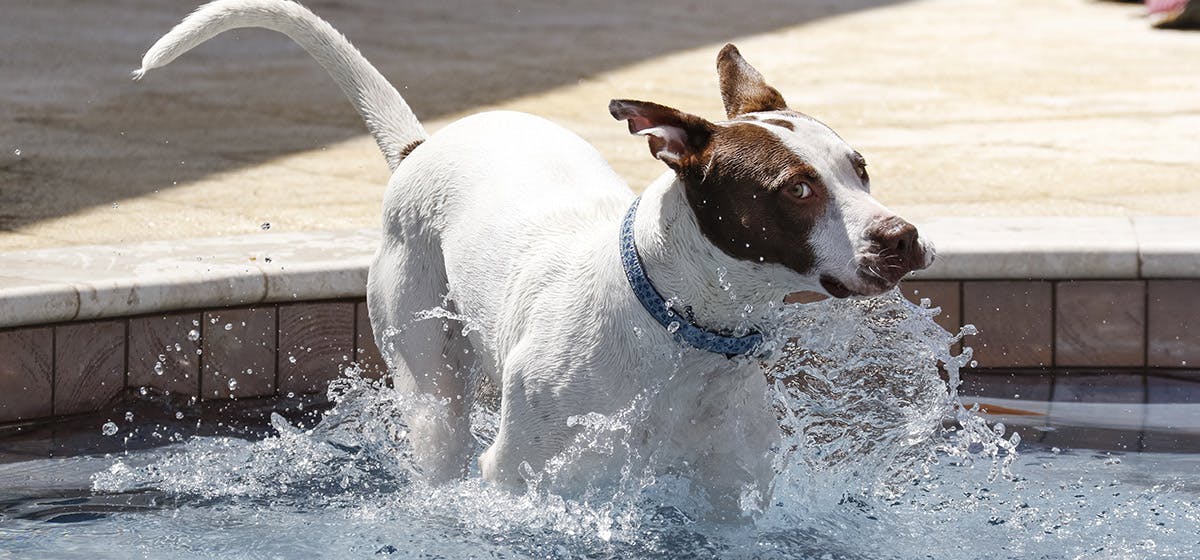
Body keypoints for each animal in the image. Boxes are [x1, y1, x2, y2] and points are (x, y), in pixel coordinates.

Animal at [136, 0, 931, 518]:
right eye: (796, 188)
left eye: (860, 169)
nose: (902, 237)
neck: (677, 331)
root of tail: (424, 146)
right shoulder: (524, 481)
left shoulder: (730, 495)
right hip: (428, 378)